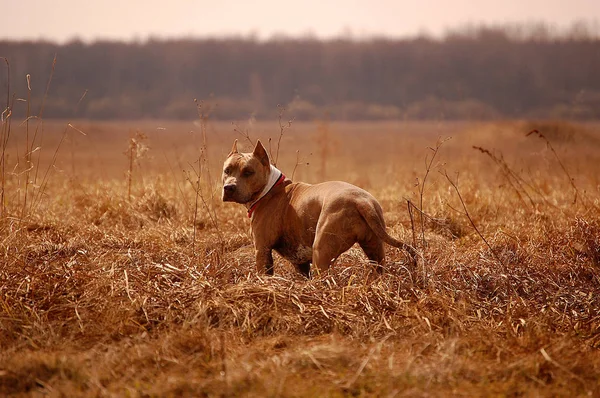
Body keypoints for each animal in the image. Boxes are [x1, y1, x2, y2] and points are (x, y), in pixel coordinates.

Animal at [221, 140, 418, 276]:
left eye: (248, 172)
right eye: (227, 170)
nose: (229, 187)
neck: (269, 189)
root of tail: (361, 201)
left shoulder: (262, 250)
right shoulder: (300, 262)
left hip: (321, 251)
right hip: (374, 248)